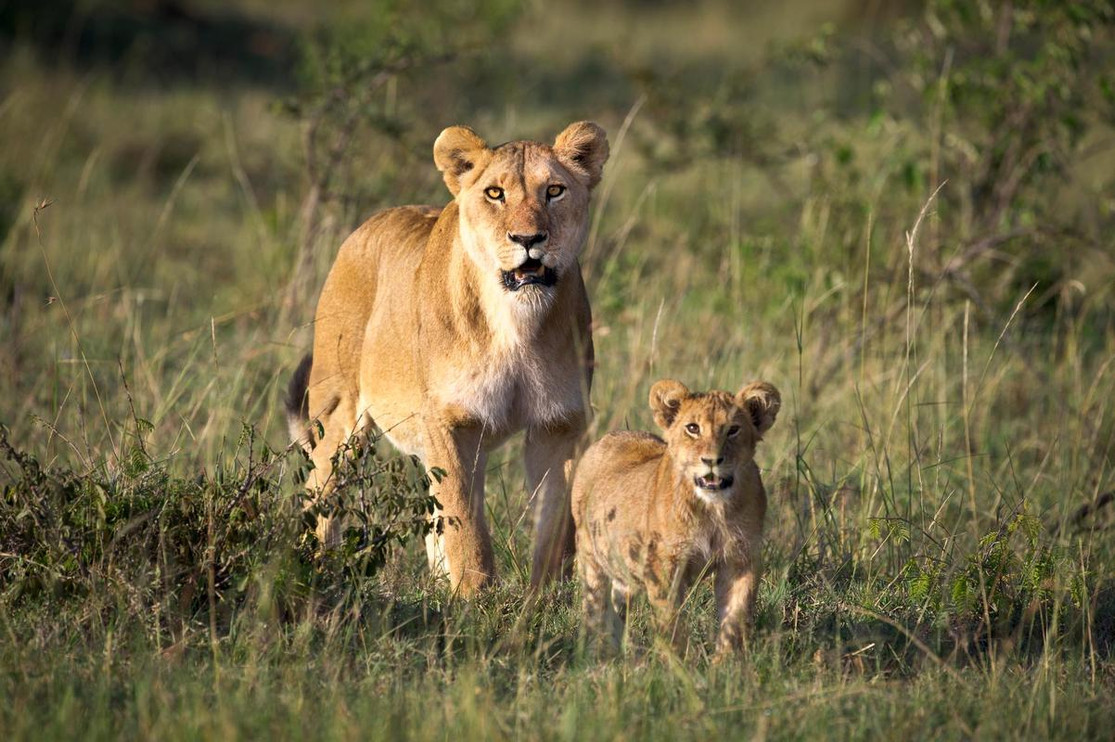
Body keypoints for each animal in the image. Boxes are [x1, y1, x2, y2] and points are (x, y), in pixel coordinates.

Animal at [285, 122, 609, 596]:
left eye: (554, 191)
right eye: (495, 194)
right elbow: (465, 524)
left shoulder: (560, 424)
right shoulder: (450, 422)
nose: (528, 240)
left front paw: (544, 599)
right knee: (321, 492)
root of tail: (366, 226)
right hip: (340, 416)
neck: (515, 325)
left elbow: (554, 523)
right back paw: (318, 573)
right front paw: (476, 599)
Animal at [571, 378, 781, 654]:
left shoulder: (740, 558)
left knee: (619, 602)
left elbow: (734, 617)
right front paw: (680, 662)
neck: (713, 511)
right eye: (693, 428)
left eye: (733, 430)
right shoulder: (663, 566)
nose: (712, 460)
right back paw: (599, 654)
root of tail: (607, 438)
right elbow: (672, 623)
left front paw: (725, 662)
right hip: (591, 558)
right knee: (595, 608)